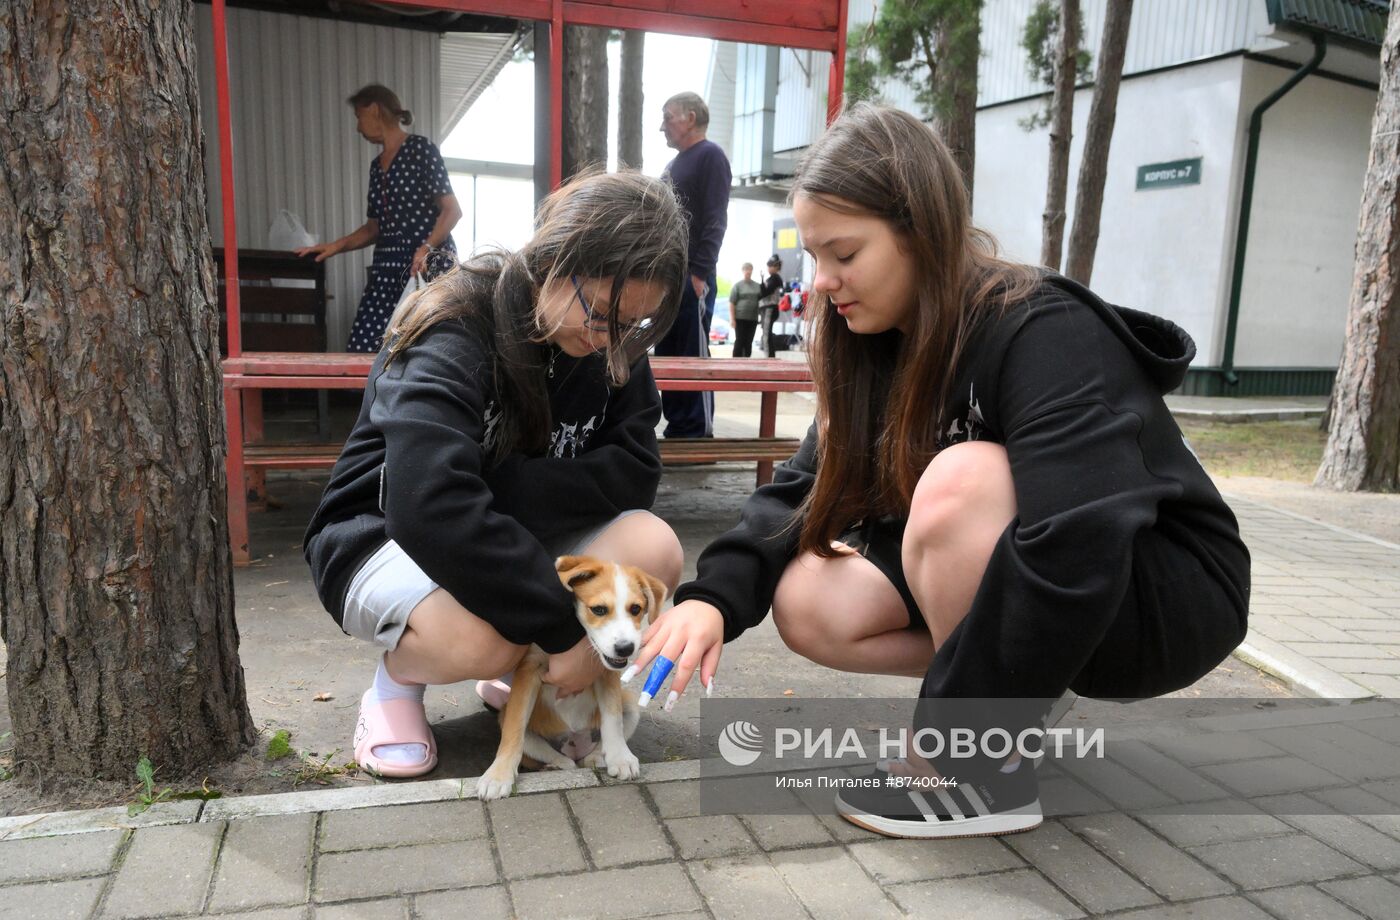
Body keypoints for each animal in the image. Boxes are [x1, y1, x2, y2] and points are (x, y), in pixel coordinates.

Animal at [476, 551, 666, 795]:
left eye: (636, 609)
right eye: (599, 609)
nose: (625, 649)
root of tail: (575, 745)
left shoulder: (605, 672)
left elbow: (613, 718)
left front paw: (620, 758)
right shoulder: (528, 670)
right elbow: (514, 729)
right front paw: (498, 776)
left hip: (630, 705)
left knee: (589, 755)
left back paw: (598, 758)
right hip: (507, 715)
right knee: (558, 759)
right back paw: (555, 765)